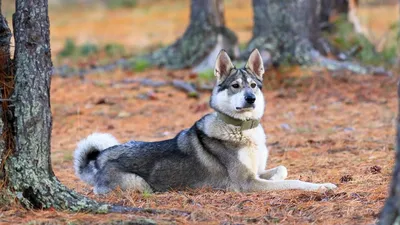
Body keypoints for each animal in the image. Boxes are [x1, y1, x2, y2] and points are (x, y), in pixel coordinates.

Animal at [73, 49, 336, 195]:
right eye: (235, 86)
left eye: (253, 85)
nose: (250, 99)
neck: (241, 129)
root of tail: (98, 160)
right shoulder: (247, 183)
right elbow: (294, 181)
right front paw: (322, 186)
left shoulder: (257, 172)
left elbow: (282, 169)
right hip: (140, 185)